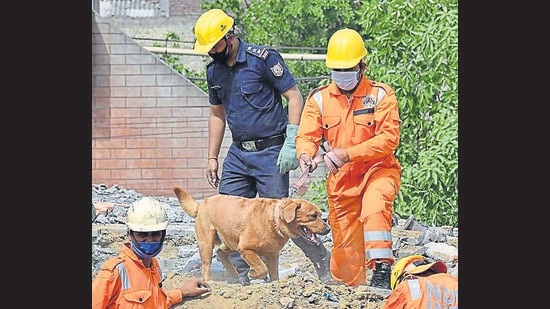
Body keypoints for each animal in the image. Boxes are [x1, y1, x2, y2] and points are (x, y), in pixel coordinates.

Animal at [175, 185, 332, 282]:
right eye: (313, 216)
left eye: (320, 215)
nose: (329, 229)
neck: (274, 220)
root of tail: (202, 203)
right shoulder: (246, 249)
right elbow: (262, 268)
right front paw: (253, 273)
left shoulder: (272, 255)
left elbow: (273, 273)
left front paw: (275, 284)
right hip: (207, 243)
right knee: (206, 265)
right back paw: (209, 282)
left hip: (231, 241)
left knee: (221, 253)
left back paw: (234, 274)